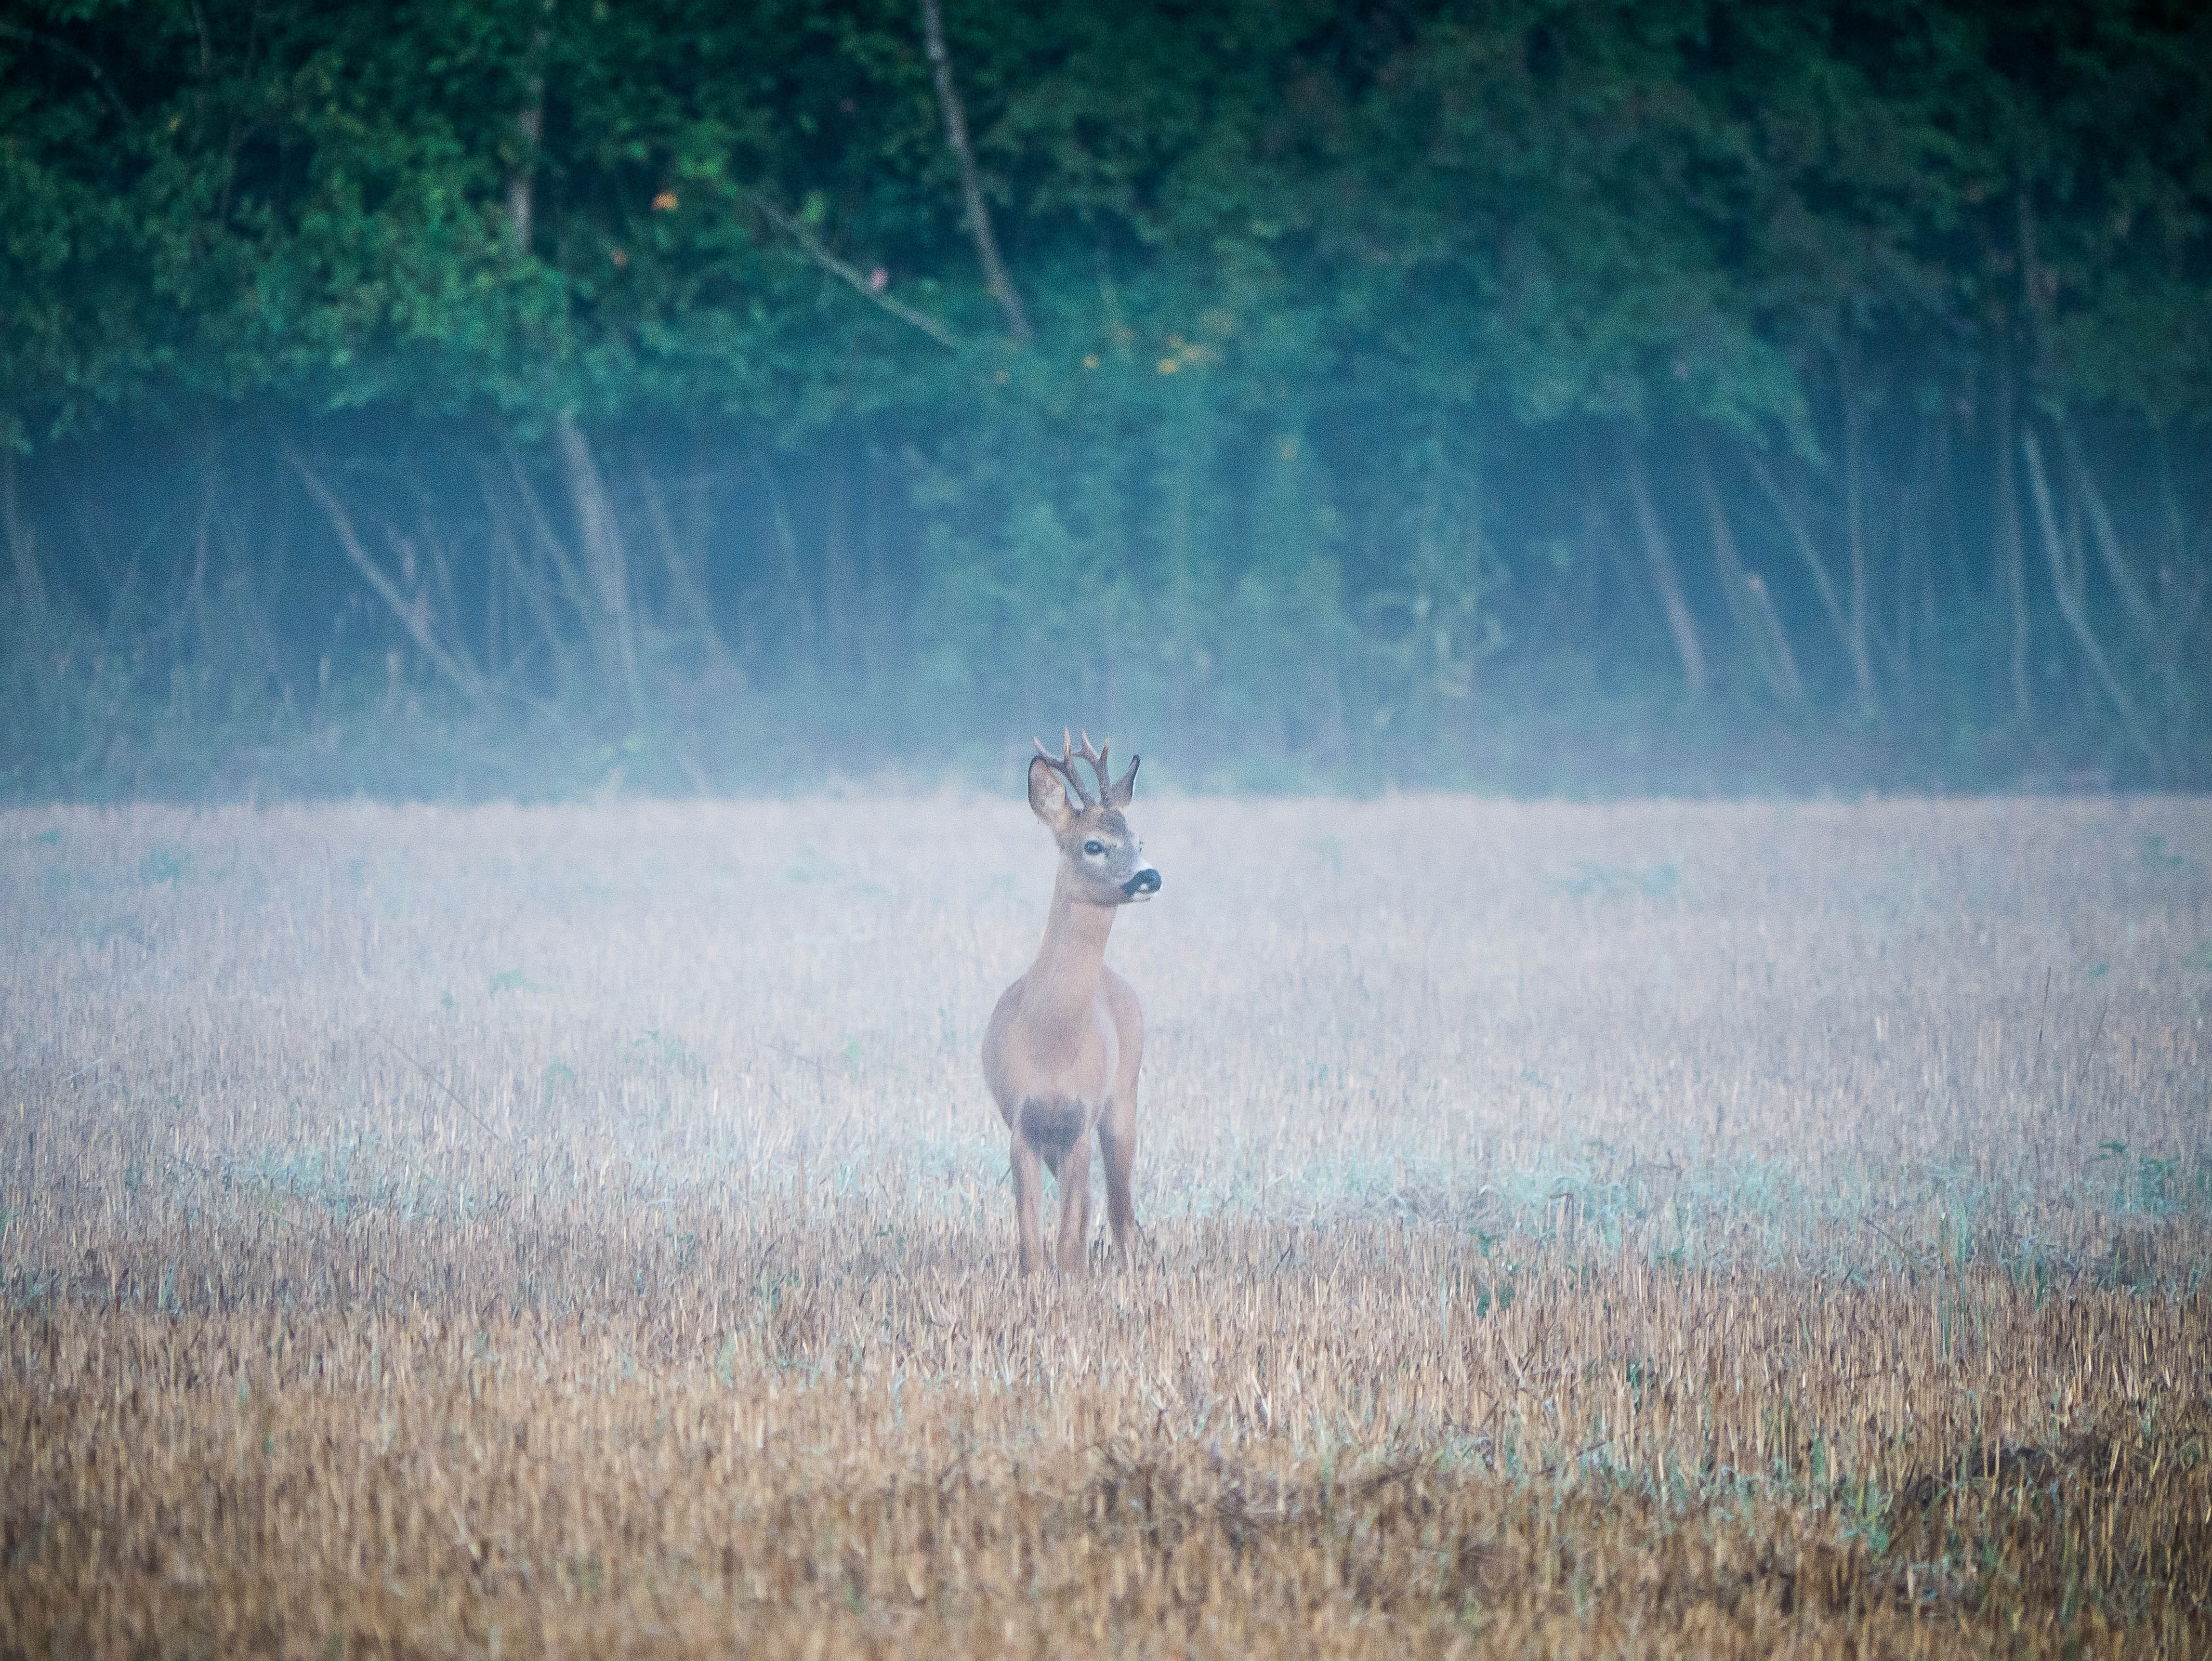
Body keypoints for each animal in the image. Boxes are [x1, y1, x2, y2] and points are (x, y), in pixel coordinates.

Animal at [982, 731, 1161, 1275]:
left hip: (1123, 1099)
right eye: (1094, 844)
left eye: (1139, 841)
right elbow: (1031, 1244)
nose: (1150, 876)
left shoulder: (1080, 1120)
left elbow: (1065, 1241)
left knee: (1121, 1213)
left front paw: (1073, 1282)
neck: (1050, 1043)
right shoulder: (1022, 1122)